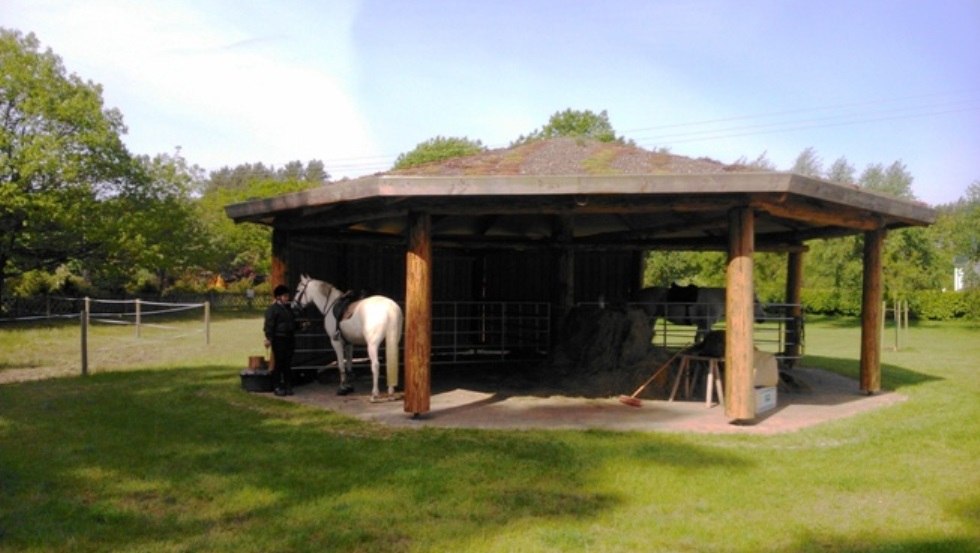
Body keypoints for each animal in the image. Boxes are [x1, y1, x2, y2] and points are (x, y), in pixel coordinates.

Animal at [636, 284, 764, 340]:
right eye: (756, 302)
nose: (763, 318)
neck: (717, 299)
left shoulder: (702, 325)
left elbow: (697, 339)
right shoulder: (706, 325)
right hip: (649, 318)